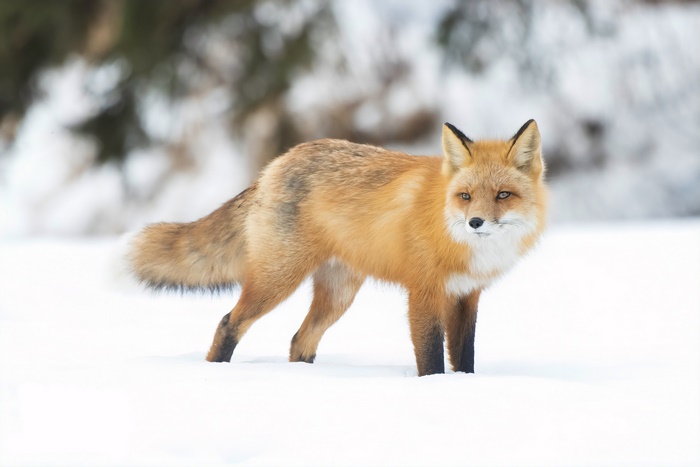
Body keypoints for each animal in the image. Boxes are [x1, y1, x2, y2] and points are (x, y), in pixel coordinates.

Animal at [127, 120, 547, 376]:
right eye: (465, 197)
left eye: (503, 195)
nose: (476, 222)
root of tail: (274, 165)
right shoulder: (424, 293)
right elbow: (430, 357)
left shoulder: (466, 295)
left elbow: (464, 356)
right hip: (278, 281)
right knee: (229, 322)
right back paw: (216, 372)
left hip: (338, 296)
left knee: (300, 340)